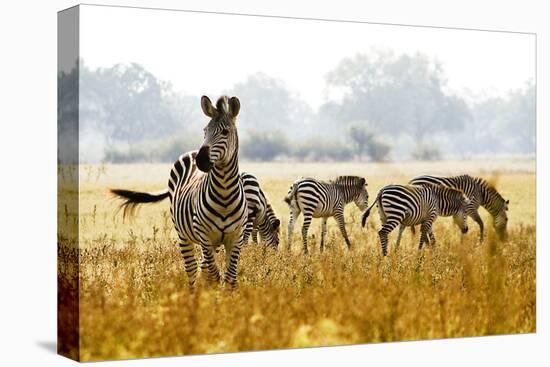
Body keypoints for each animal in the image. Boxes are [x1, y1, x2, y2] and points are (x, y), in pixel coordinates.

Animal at [111, 95, 249, 288]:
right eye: (205, 131)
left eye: (225, 132)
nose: (201, 160)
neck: (225, 193)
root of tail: (191, 152)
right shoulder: (204, 235)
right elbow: (214, 275)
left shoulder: (236, 237)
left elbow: (230, 278)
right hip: (184, 235)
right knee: (192, 269)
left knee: (203, 267)